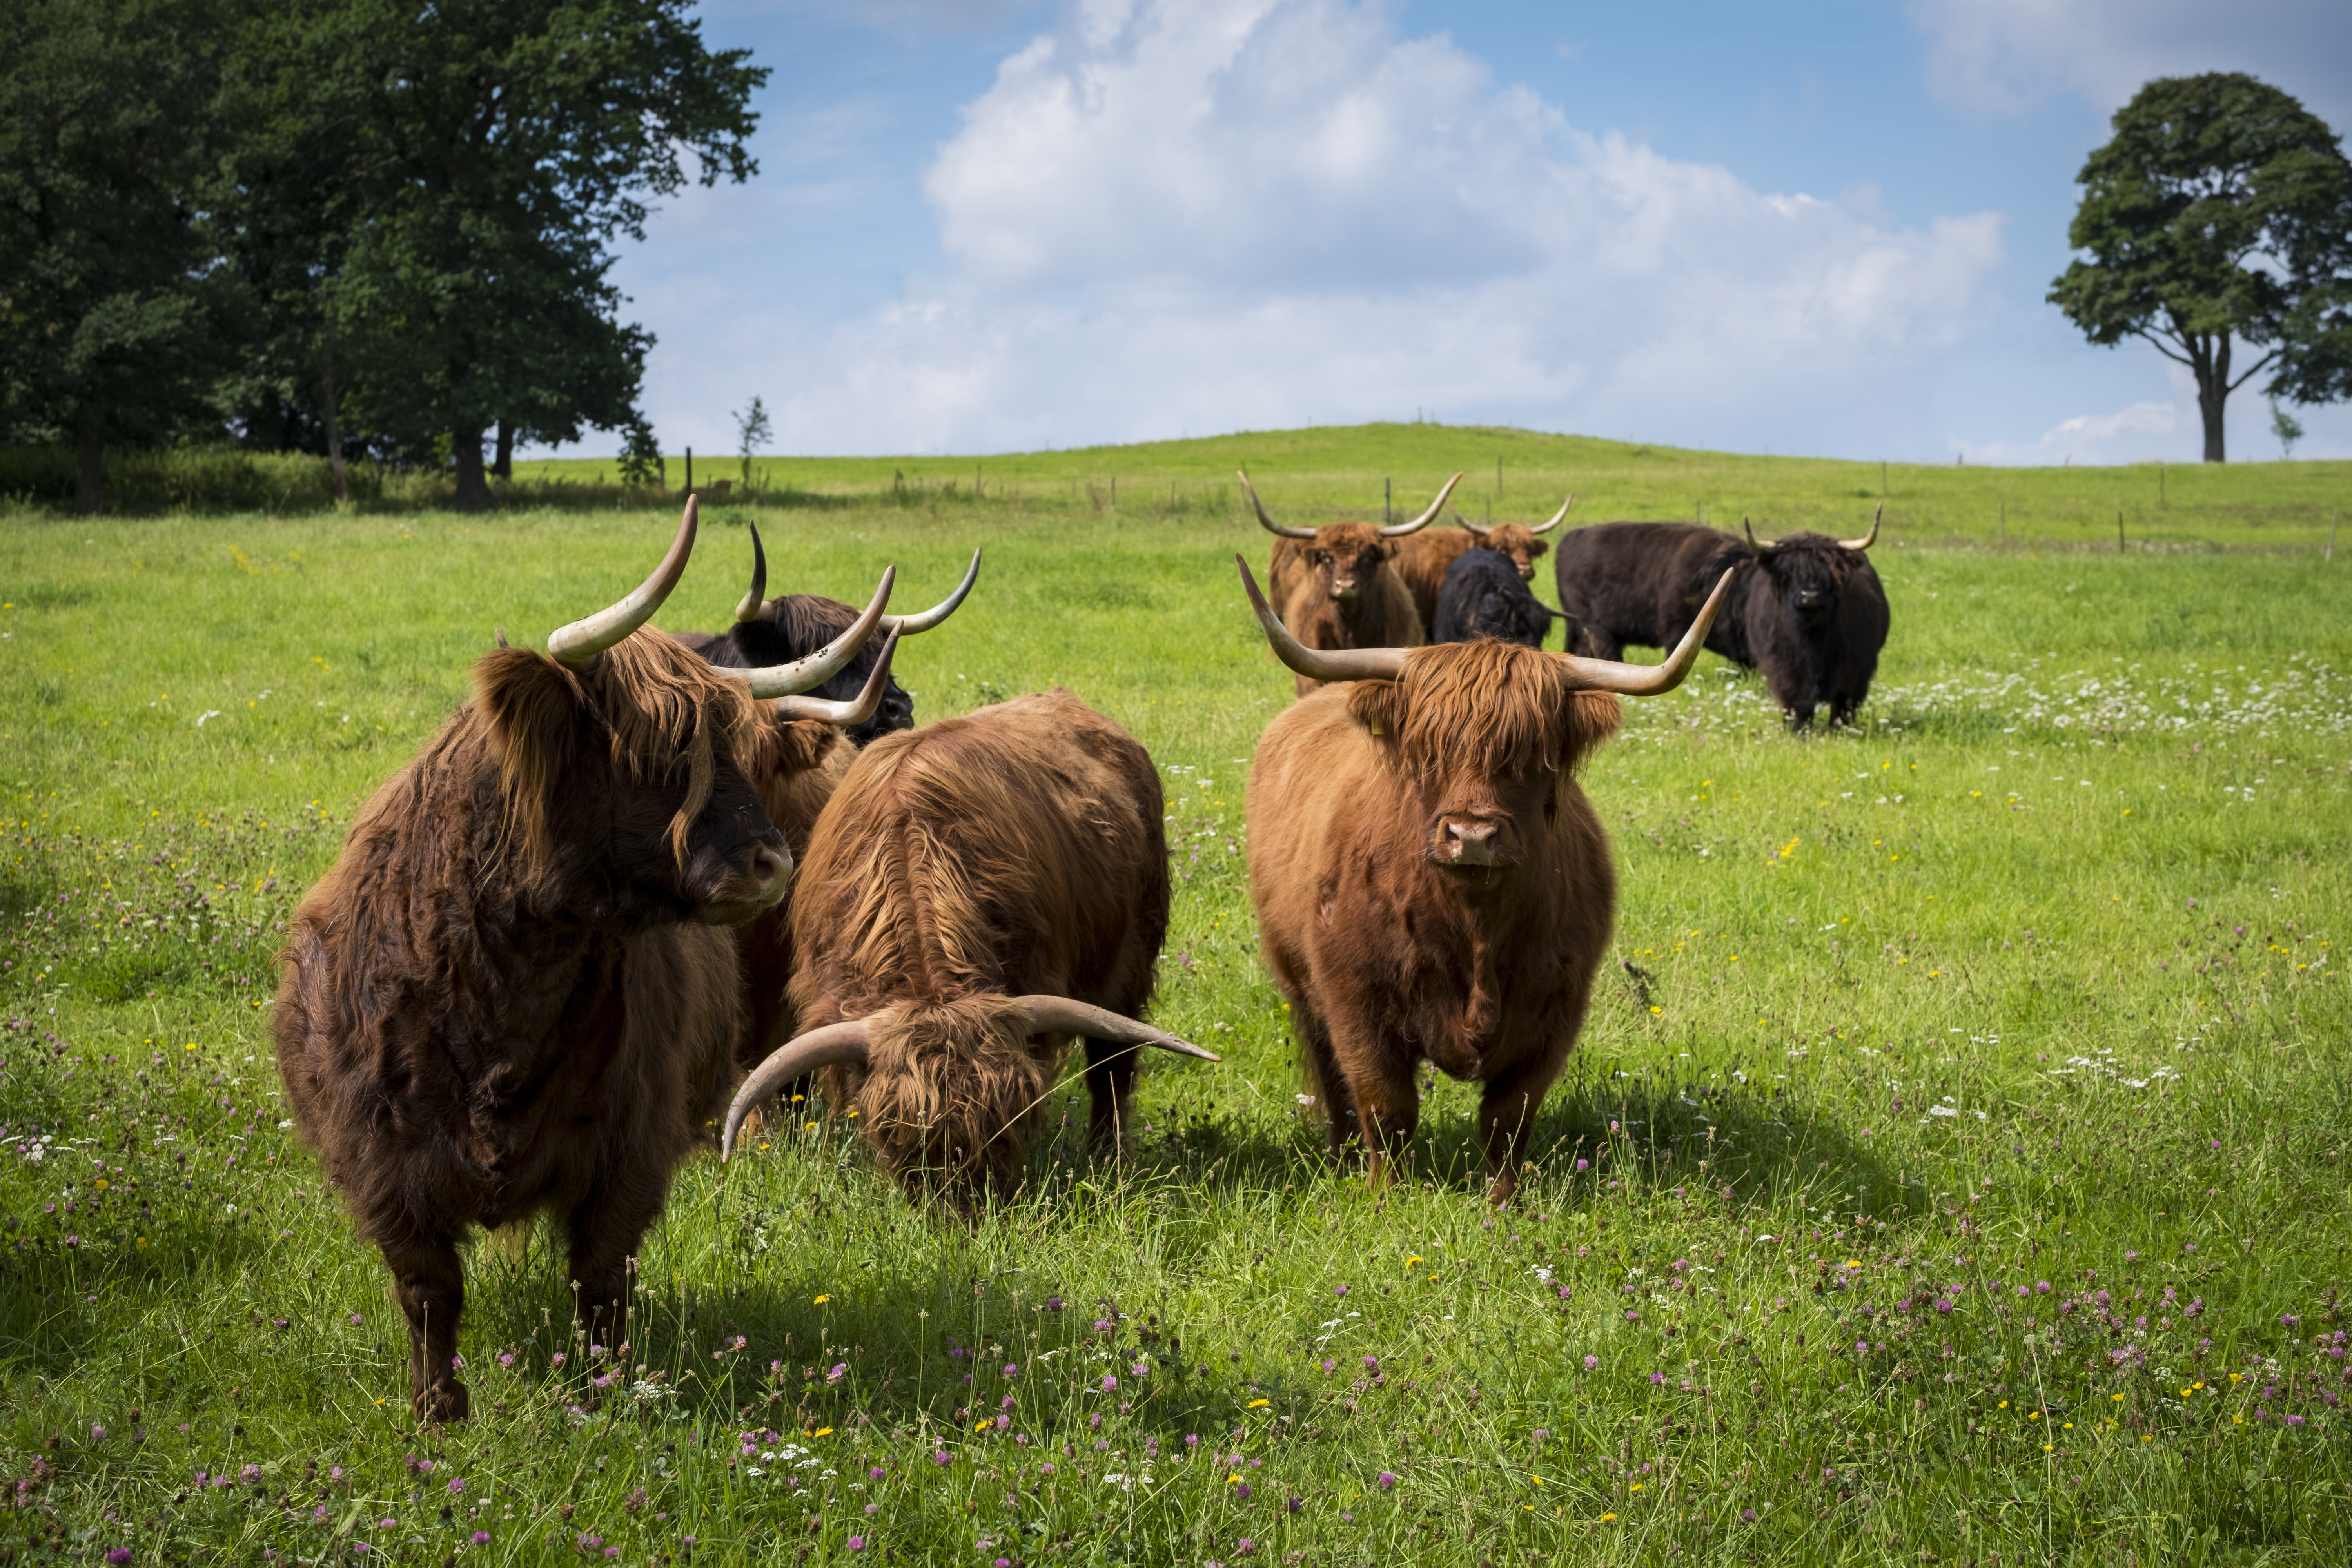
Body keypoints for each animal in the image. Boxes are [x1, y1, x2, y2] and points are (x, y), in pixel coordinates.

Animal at [273, 497, 898, 1422]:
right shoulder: (381, 1156)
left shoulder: (631, 1143)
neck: (503, 991)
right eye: (658, 753)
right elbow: (427, 1287)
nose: (771, 863)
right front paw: (437, 1410)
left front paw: (599, 1392)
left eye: (739, 753)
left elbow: (601, 1277)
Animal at [720, 689, 1218, 1211]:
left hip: (1130, 961)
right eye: (899, 1135)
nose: (967, 1216)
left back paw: (1108, 1155)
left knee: (1112, 1063)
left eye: (1009, 1124)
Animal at [1551, 507, 1885, 729]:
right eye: (1788, 572)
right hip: (1597, 629)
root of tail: (1568, 540)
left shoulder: (1852, 671)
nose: (1809, 596)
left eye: (1831, 571)